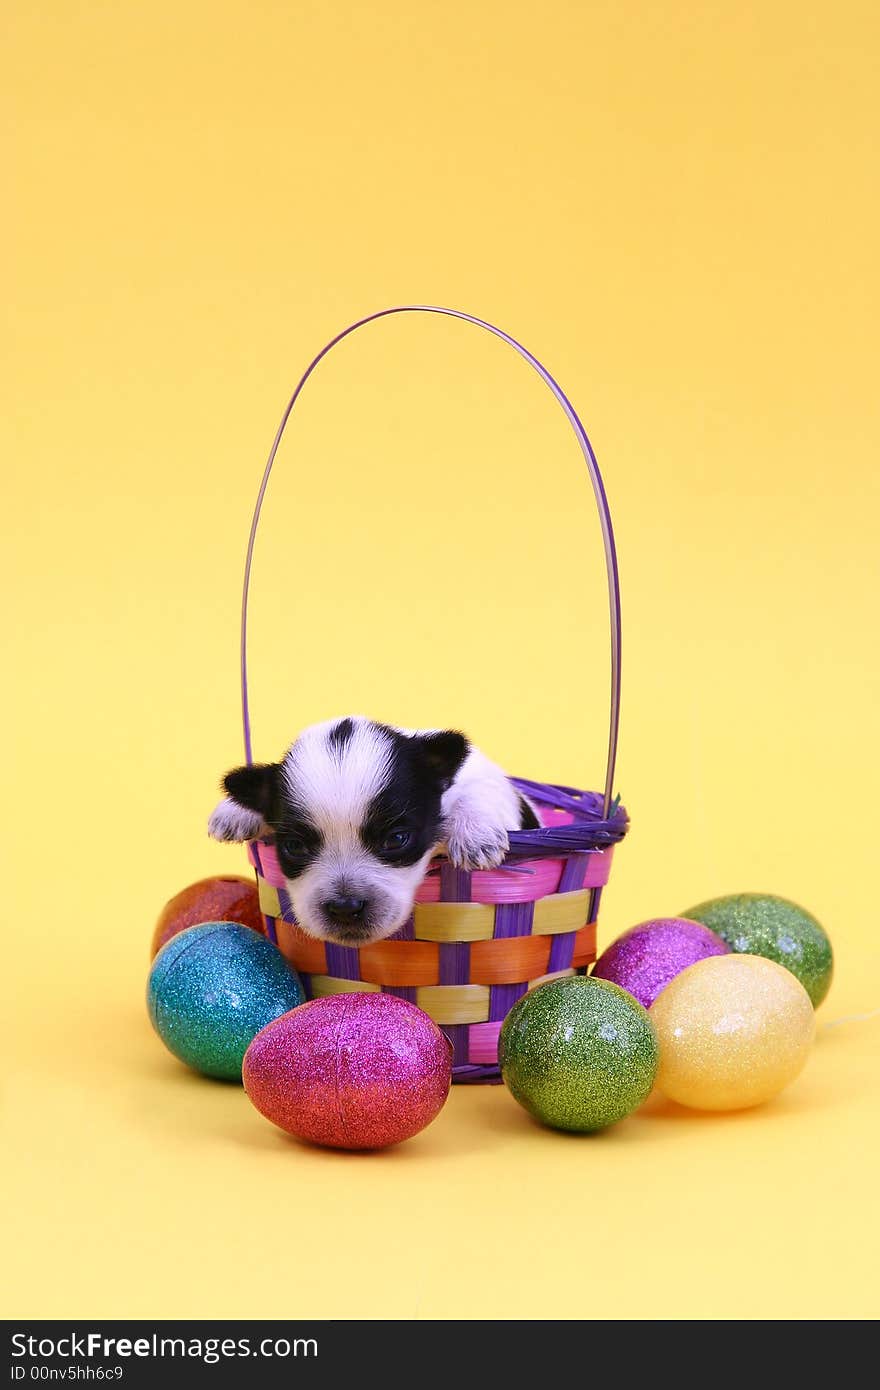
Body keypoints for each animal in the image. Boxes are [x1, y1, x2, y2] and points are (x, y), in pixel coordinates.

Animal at [207, 717, 536, 945]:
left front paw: (474, 834)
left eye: (396, 839)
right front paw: (234, 811)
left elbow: (476, 792)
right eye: (295, 847)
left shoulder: (481, 778)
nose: (345, 907)